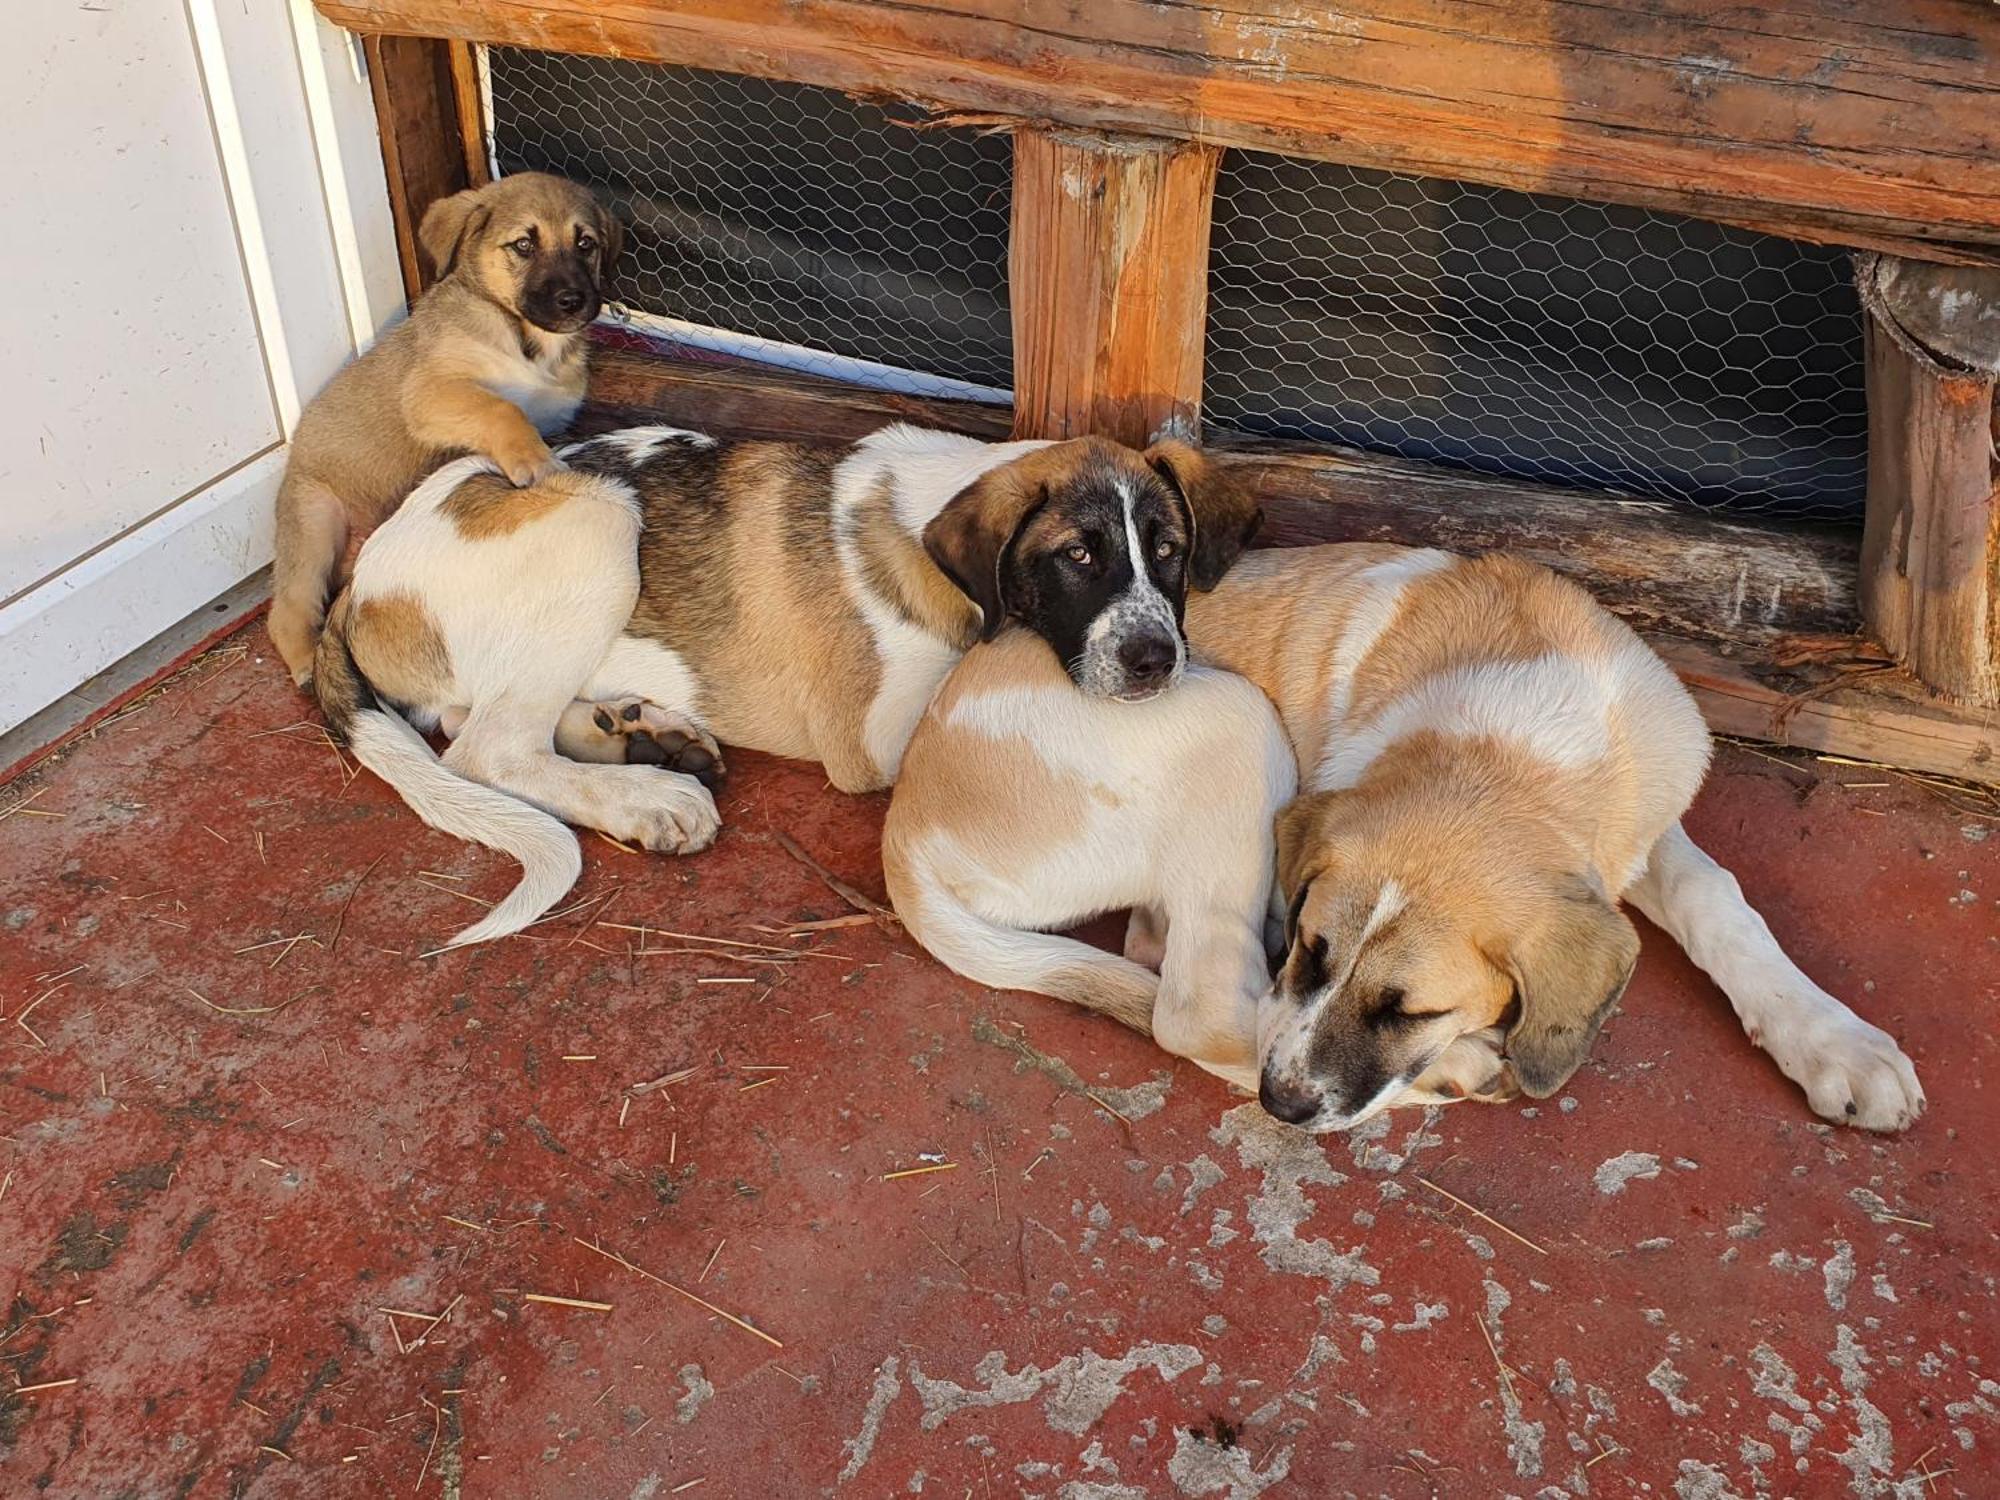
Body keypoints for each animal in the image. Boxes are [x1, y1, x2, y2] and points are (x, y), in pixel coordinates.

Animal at [270, 172, 616, 688]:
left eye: (586, 244)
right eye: (524, 245)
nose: (574, 301)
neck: (528, 341)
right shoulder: (431, 392)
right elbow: (501, 409)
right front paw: (533, 461)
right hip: (314, 522)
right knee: (287, 608)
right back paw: (307, 665)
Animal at [884, 548, 1928, 1136]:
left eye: (1408, 1009)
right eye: (1311, 950)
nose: (1282, 1107)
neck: (1509, 748)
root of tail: (907, 824)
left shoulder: (1626, 833)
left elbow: (1721, 900)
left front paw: (1835, 1042)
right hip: (1234, 717)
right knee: (1192, 1009)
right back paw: (1463, 1072)